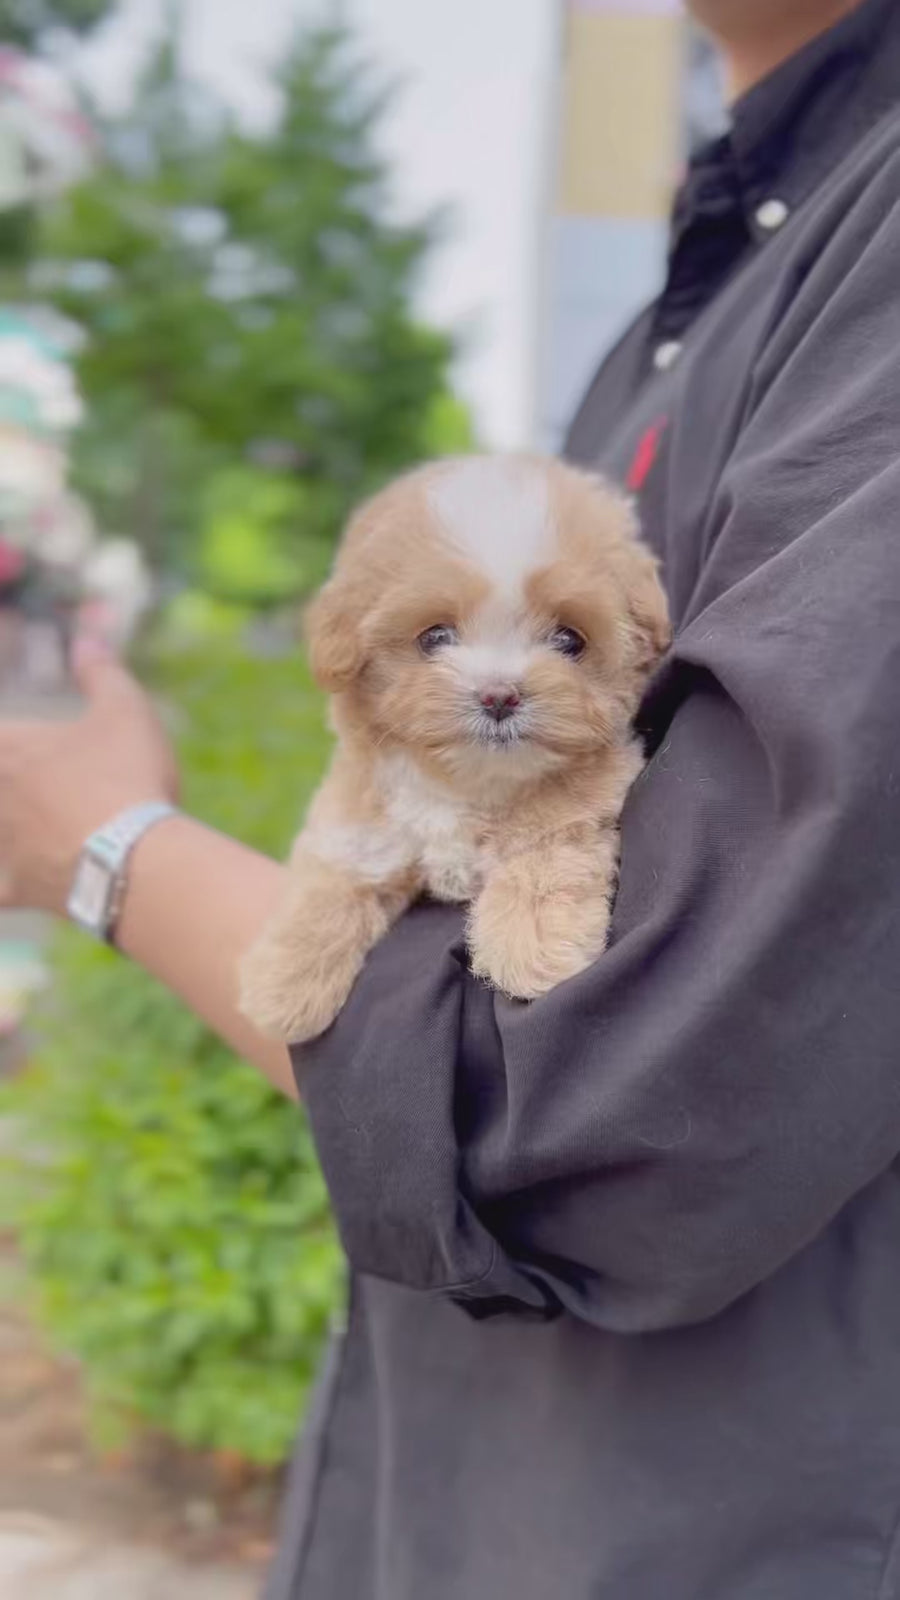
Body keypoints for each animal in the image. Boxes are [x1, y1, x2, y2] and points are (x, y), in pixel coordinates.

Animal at [237, 457, 666, 1043]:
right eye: (434, 637)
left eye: (569, 640)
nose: (500, 695)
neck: (466, 782)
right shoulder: (361, 814)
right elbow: (333, 874)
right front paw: (283, 982)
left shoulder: (584, 800)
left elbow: (545, 854)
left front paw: (532, 946)